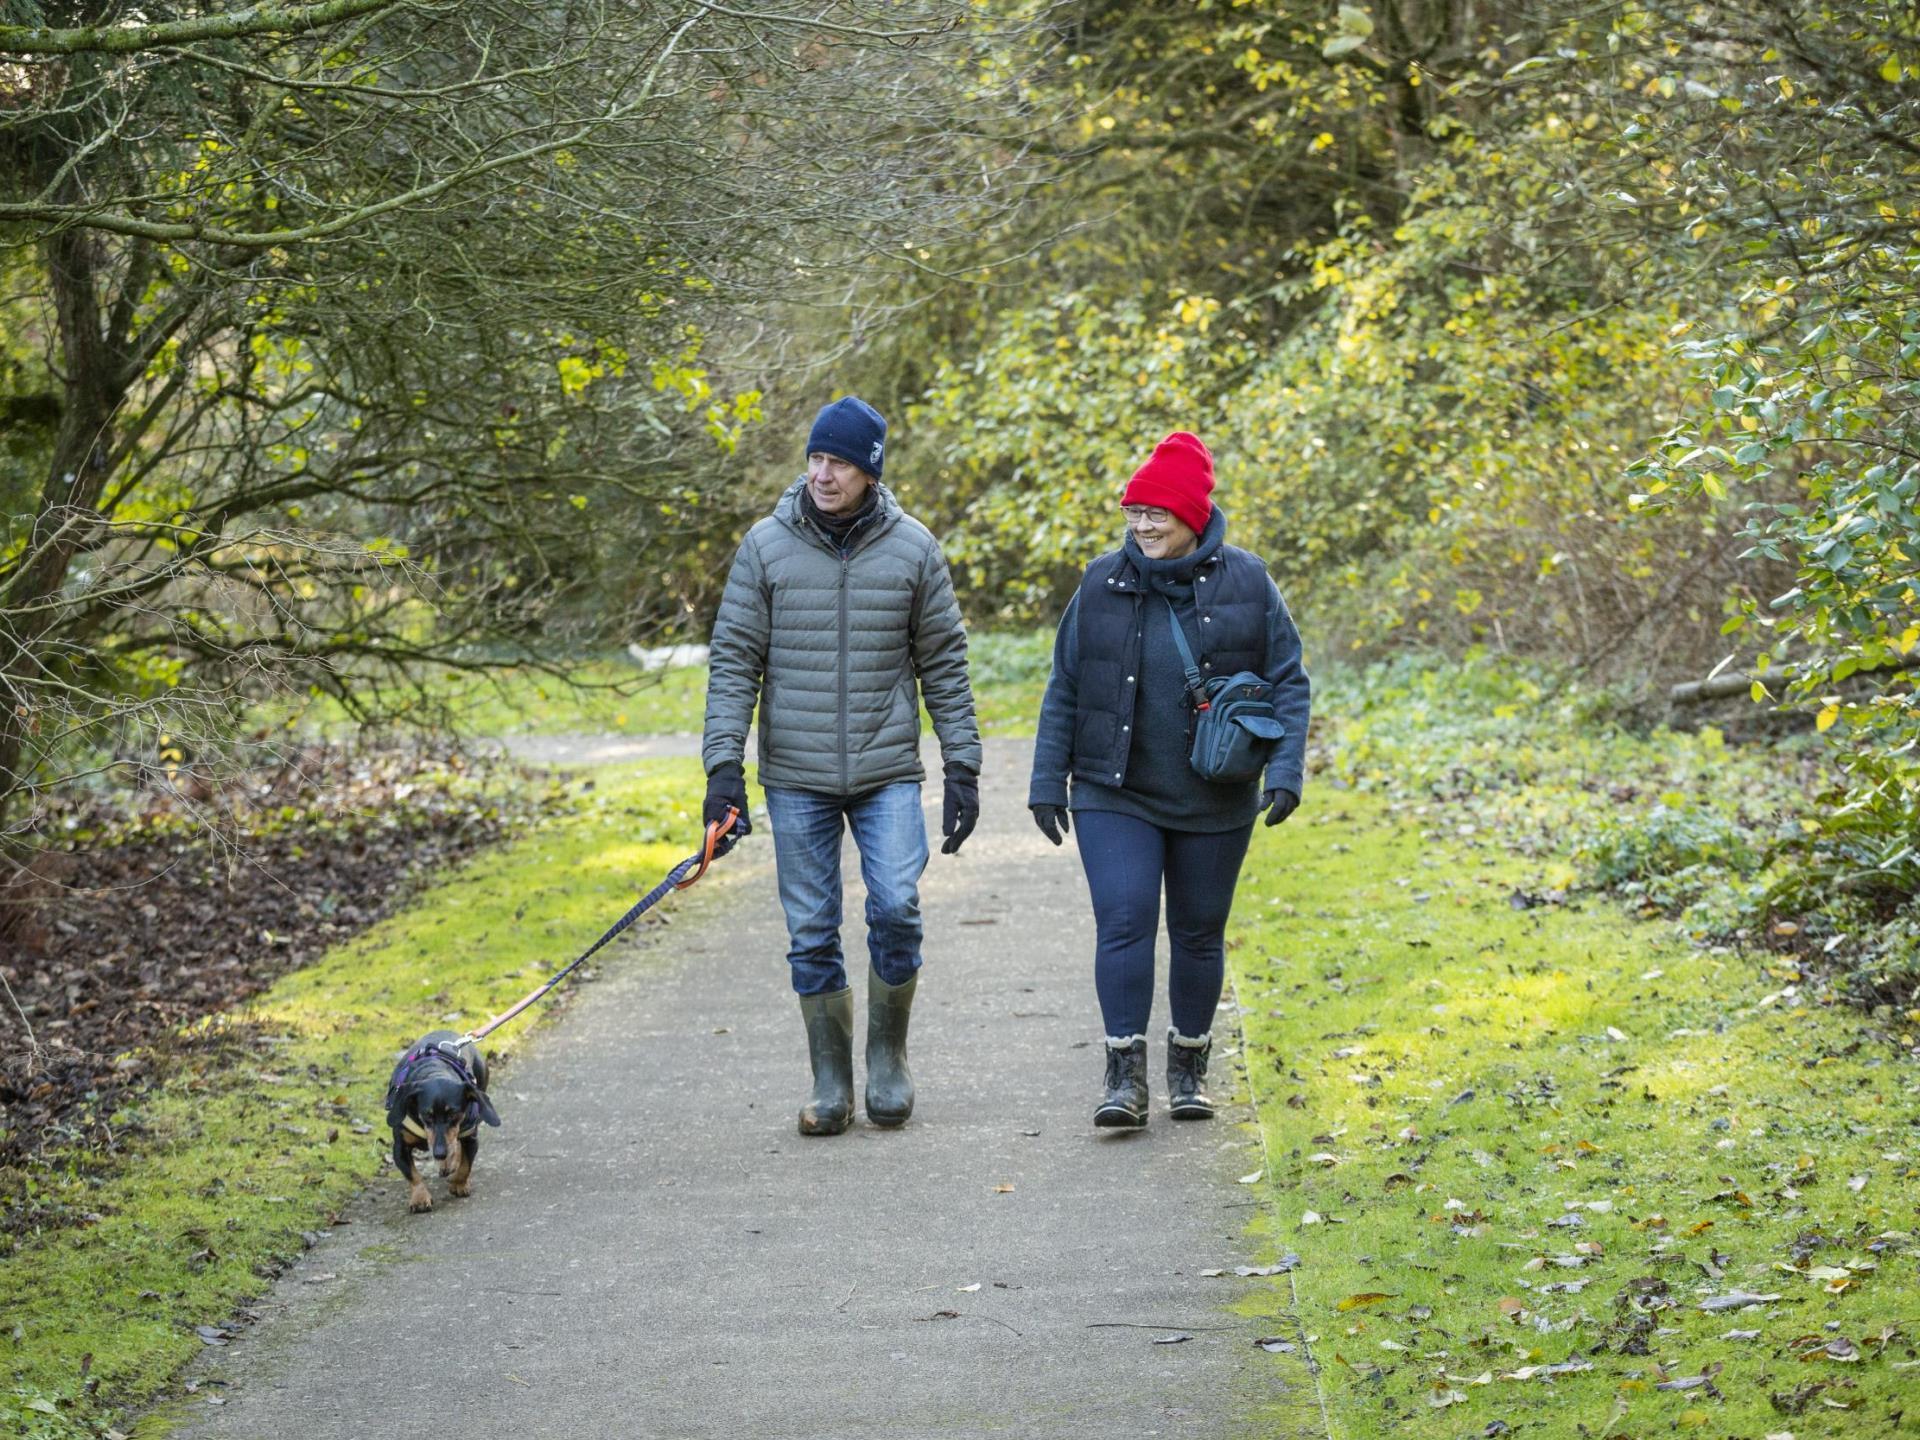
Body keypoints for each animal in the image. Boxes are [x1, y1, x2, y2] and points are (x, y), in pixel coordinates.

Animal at [382, 1029, 499, 1213]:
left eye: (453, 1114)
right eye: (427, 1115)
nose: (439, 1153)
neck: (435, 1070)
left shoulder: (470, 1137)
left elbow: (466, 1164)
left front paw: (459, 1184)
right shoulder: (400, 1147)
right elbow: (412, 1174)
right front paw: (420, 1198)